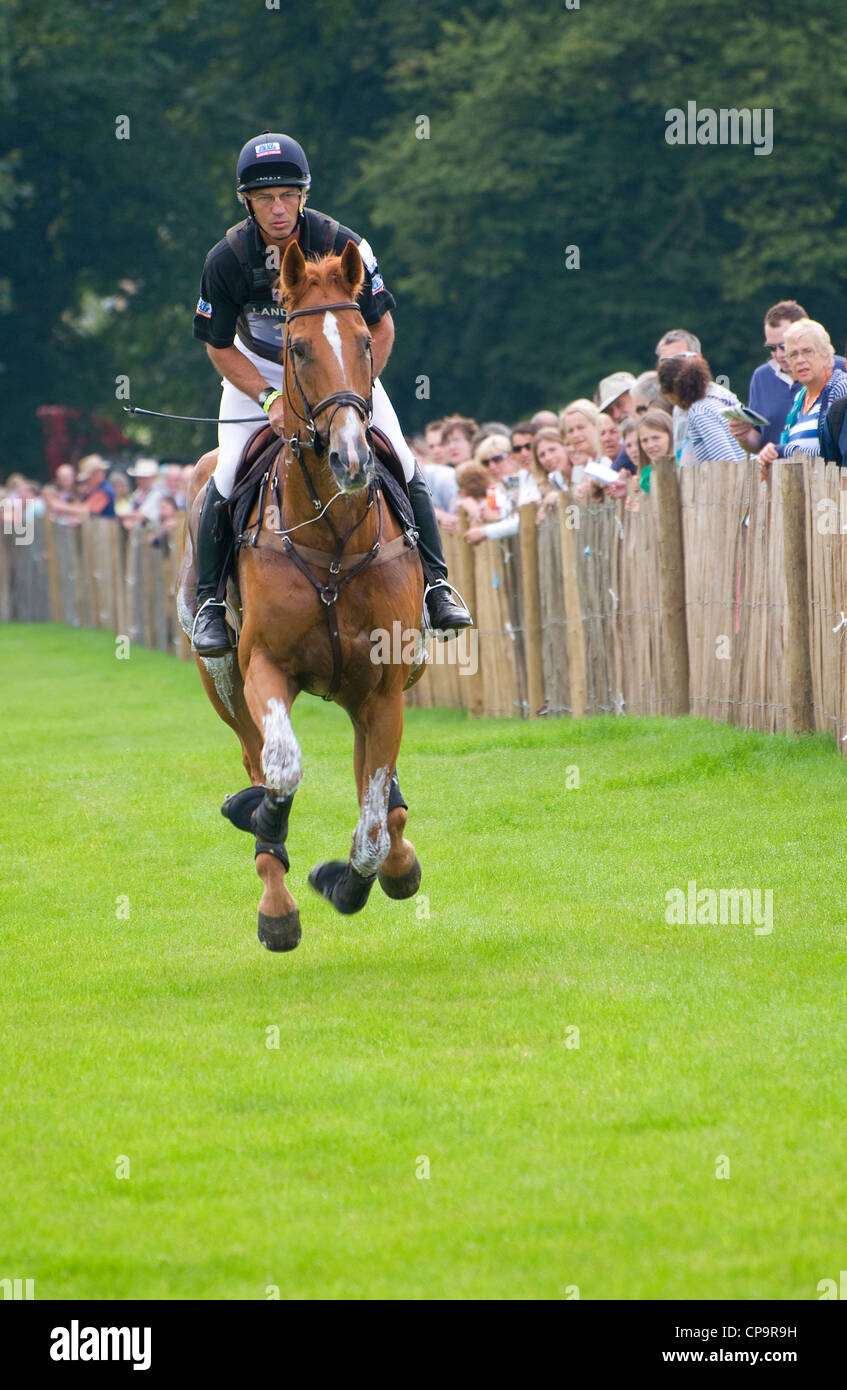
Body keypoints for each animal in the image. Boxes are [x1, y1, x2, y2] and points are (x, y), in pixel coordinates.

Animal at [179, 241, 428, 956]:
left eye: (365, 340)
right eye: (295, 347)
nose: (351, 459)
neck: (334, 539)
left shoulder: (382, 691)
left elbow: (372, 826)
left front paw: (350, 880)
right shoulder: (264, 665)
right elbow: (283, 768)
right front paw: (262, 820)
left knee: (381, 797)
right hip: (221, 679)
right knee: (254, 757)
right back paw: (275, 899)